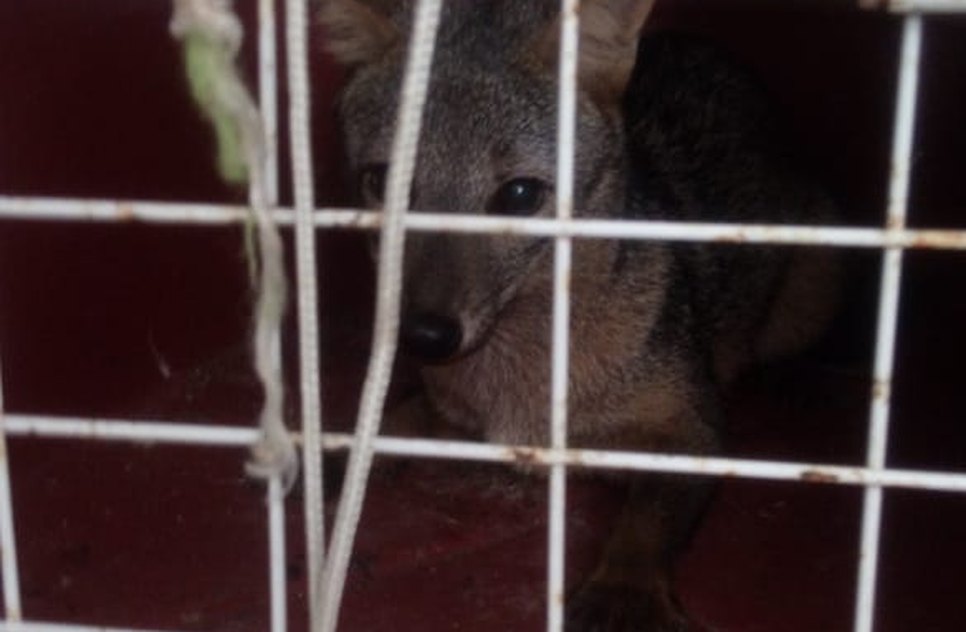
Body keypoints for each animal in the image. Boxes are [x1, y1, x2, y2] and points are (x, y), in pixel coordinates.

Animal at [320, 0, 840, 630]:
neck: (524, 380)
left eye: (520, 195)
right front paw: (336, 451)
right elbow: (393, 417)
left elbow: (645, 522)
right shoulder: (459, 419)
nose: (424, 335)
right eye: (380, 183)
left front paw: (625, 588)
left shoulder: (695, 431)